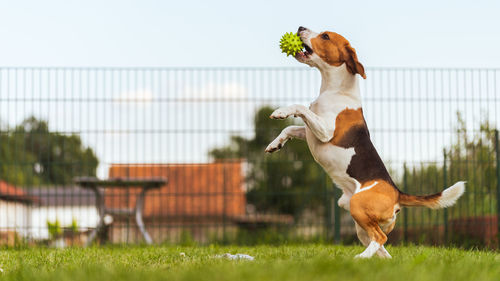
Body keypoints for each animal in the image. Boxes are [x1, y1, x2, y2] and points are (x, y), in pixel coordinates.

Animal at [266, 26, 464, 258]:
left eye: (325, 36)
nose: (300, 28)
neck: (334, 89)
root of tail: (397, 193)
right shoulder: (309, 132)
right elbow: (289, 128)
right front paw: (275, 144)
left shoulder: (325, 132)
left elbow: (299, 107)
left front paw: (281, 111)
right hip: (360, 222)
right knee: (381, 246)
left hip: (358, 206)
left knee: (381, 238)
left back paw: (360, 258)